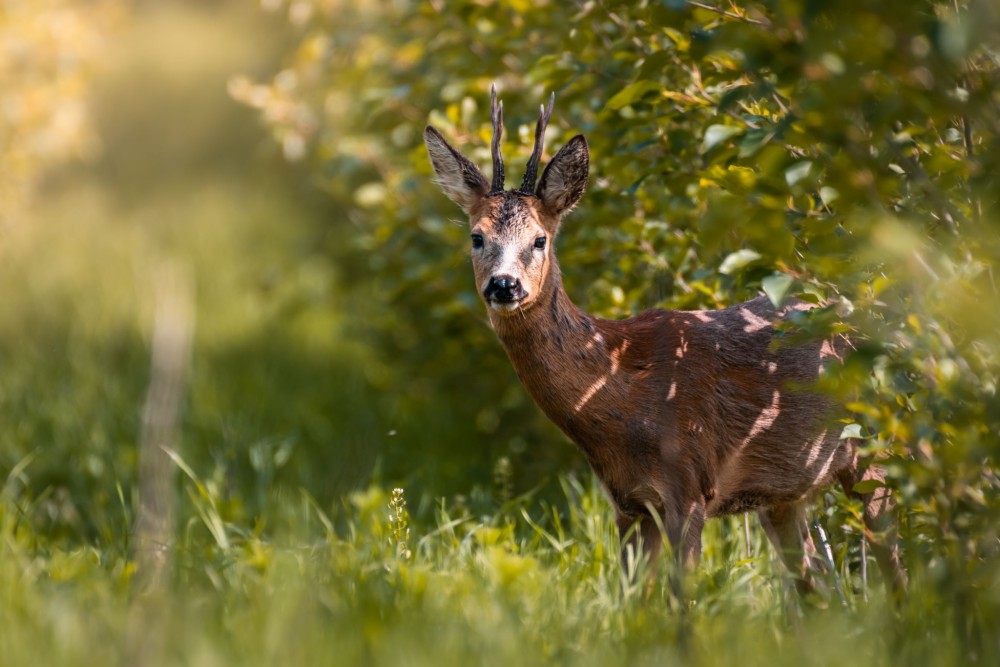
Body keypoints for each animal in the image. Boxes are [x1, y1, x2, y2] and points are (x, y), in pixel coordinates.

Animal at [422, 87, 908, 596]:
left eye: (539, 240)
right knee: (815, 582)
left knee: (894, 562)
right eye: (476, 237)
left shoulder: (690, 484)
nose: (504, 286)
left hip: (878, 449)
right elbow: (631, 600)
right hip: (784, 494)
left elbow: (682, 597)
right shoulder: (630, 504)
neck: (624, 387)